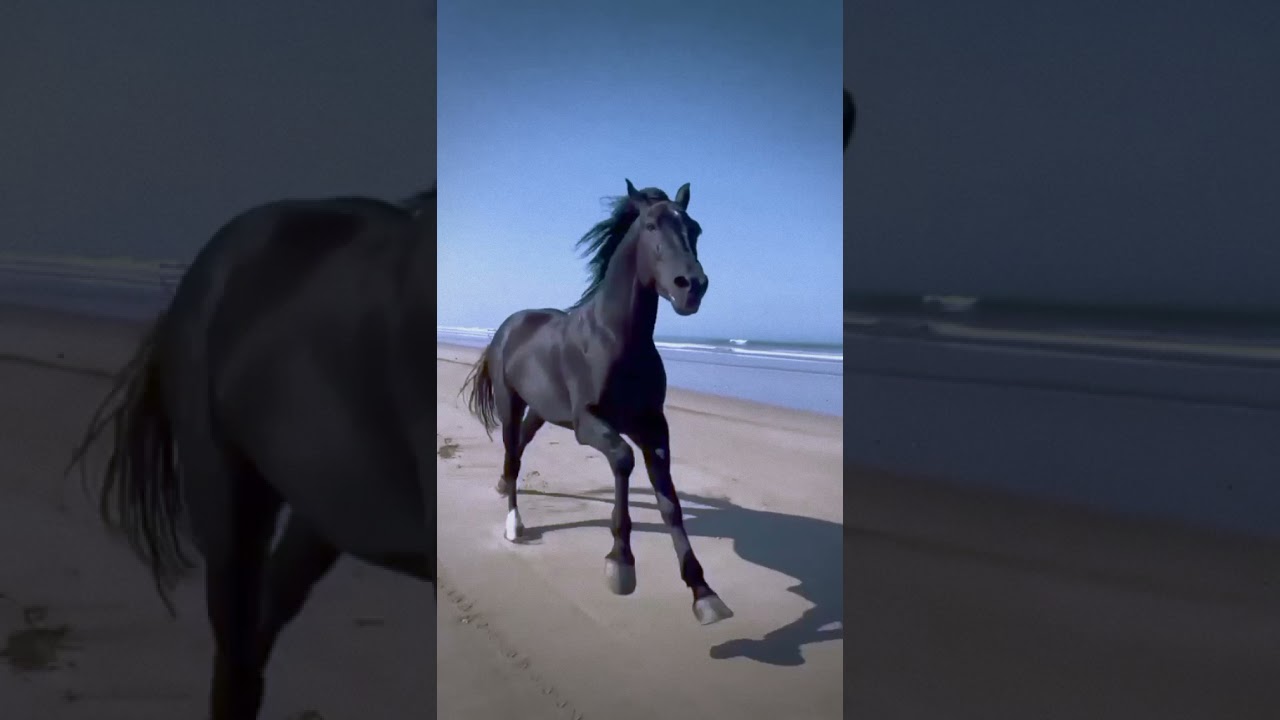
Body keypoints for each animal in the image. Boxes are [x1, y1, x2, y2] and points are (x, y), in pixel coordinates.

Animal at [460, 178, 735, 626]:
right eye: (652, 225)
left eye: (695, 228)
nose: (691, 286)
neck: (616, 339)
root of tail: (508, 326)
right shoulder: (589, 424)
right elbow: (623, 459)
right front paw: (620, 564)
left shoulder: (653, 426)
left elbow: (669, 500)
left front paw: (703, 592)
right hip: (509, 405)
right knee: (513, 455)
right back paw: (514, 526)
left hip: (540, 411)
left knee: (519, 449)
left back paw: (503, 491)